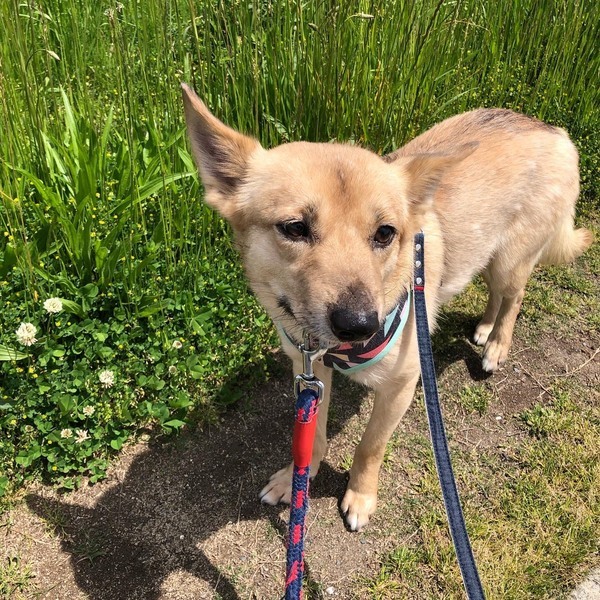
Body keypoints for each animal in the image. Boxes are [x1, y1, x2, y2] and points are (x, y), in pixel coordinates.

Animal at [181, 83, 593, 531]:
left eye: (384, 233)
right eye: (294, 228)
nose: (361, 325)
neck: (332, 351)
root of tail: (551, 129)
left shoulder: (401, 387)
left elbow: (370, 445)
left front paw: (360, 497)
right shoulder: (308, 372)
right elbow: (311, 438)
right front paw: (296, 479)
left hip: (509, 262)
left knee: (514, 298)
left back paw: (497, 346)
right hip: (482, 255)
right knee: (494, 294)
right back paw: (484, 328)